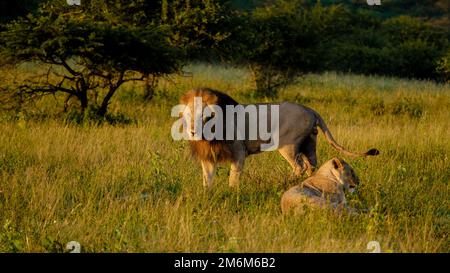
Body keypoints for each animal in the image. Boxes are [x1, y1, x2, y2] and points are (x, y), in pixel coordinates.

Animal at [180, 87, 380, 187]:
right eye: (188, 114)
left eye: (206, 115)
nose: (192, 131)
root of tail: (310, 109)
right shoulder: (208, 157)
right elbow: (207, 179)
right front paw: (207, 196)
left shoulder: (239, 152)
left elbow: (233, 178)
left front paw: (231, 193)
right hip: (309, 144)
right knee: (312, 165)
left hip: (288, 145)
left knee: (299, 166)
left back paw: (284, 183)